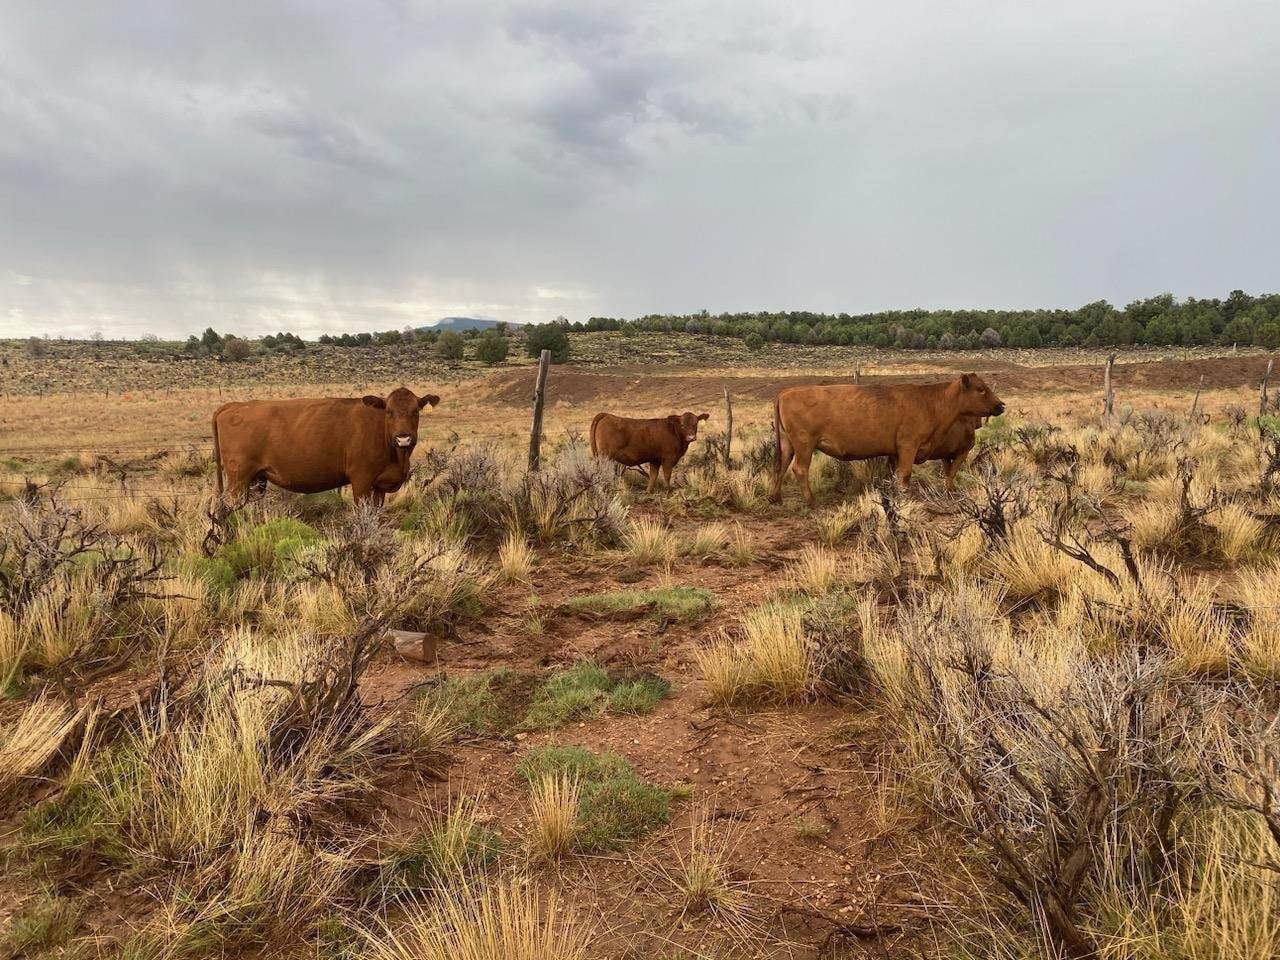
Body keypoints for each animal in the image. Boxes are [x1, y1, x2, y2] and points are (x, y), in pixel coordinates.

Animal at [213, 387, 440, 507]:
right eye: (389, 412)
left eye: (415, 411)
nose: (403, 439)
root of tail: (234, 405)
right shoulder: (361, 480)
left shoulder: (379, 486)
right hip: (237, 479)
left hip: (258, 479)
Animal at [769, 374, 1004, 505]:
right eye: (980, 389)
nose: (1001, 405)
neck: (929, 402)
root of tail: (785, 392)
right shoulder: (908, 446)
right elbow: (905, 475)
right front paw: (905, 497)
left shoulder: (895, 452)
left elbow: (895, 475)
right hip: (804, 445)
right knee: (799, 469)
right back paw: (811, 501)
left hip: (788, 445)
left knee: (781, 466)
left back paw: (776, 498)